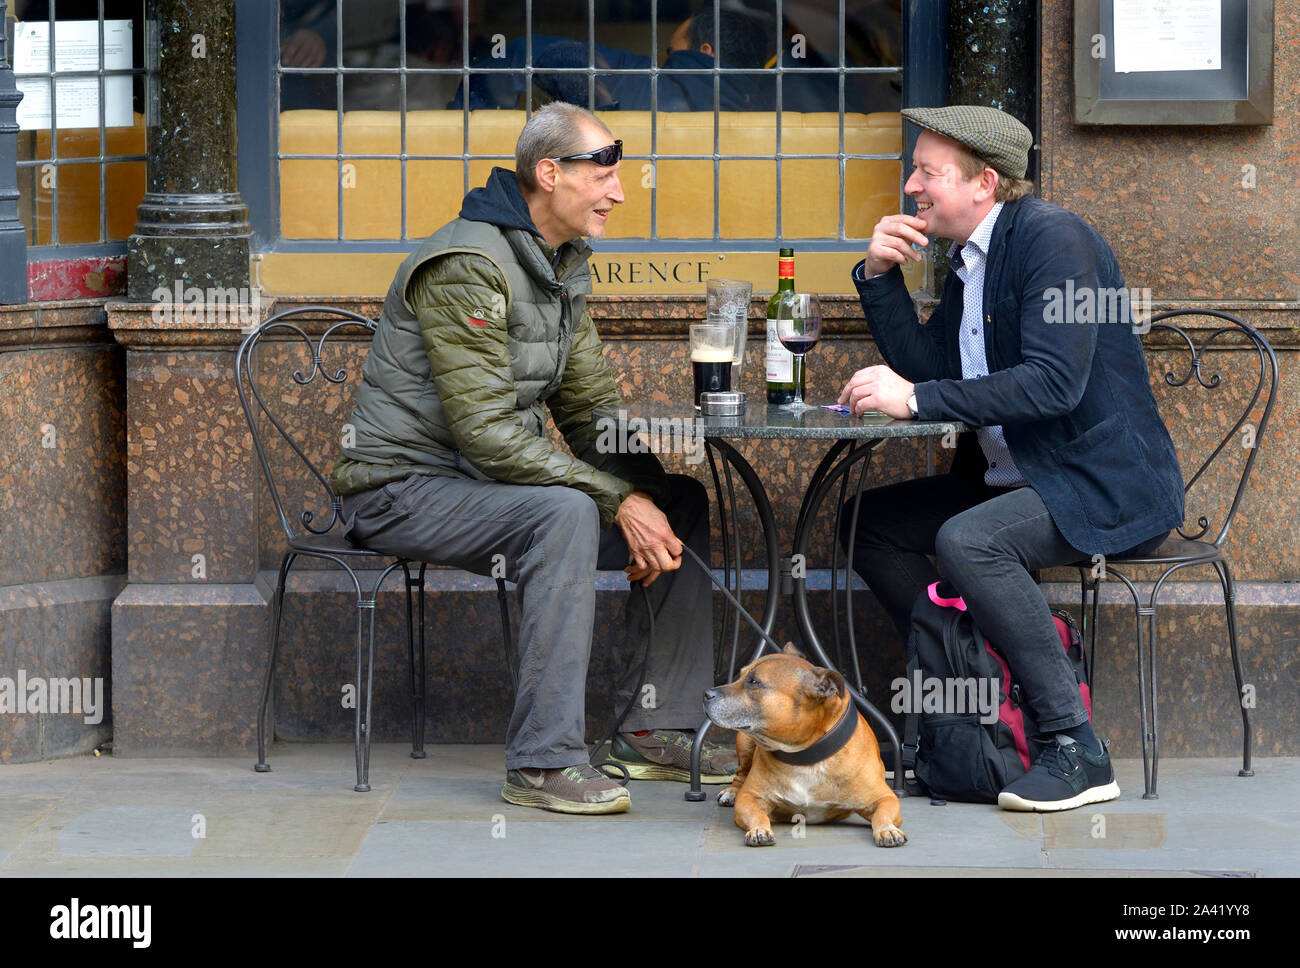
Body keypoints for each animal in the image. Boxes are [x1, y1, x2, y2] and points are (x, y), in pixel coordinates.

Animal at [707, 649, 909, 847]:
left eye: (754, 682)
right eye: (740, 676)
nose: (707, 694)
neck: (805, 756)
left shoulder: (885, 798)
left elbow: (882, 814)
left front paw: (887, 829)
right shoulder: (749, 797)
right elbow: (756, 814)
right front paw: (758, 829)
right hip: (744, 743)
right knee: (740, 774)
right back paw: (731, 792)